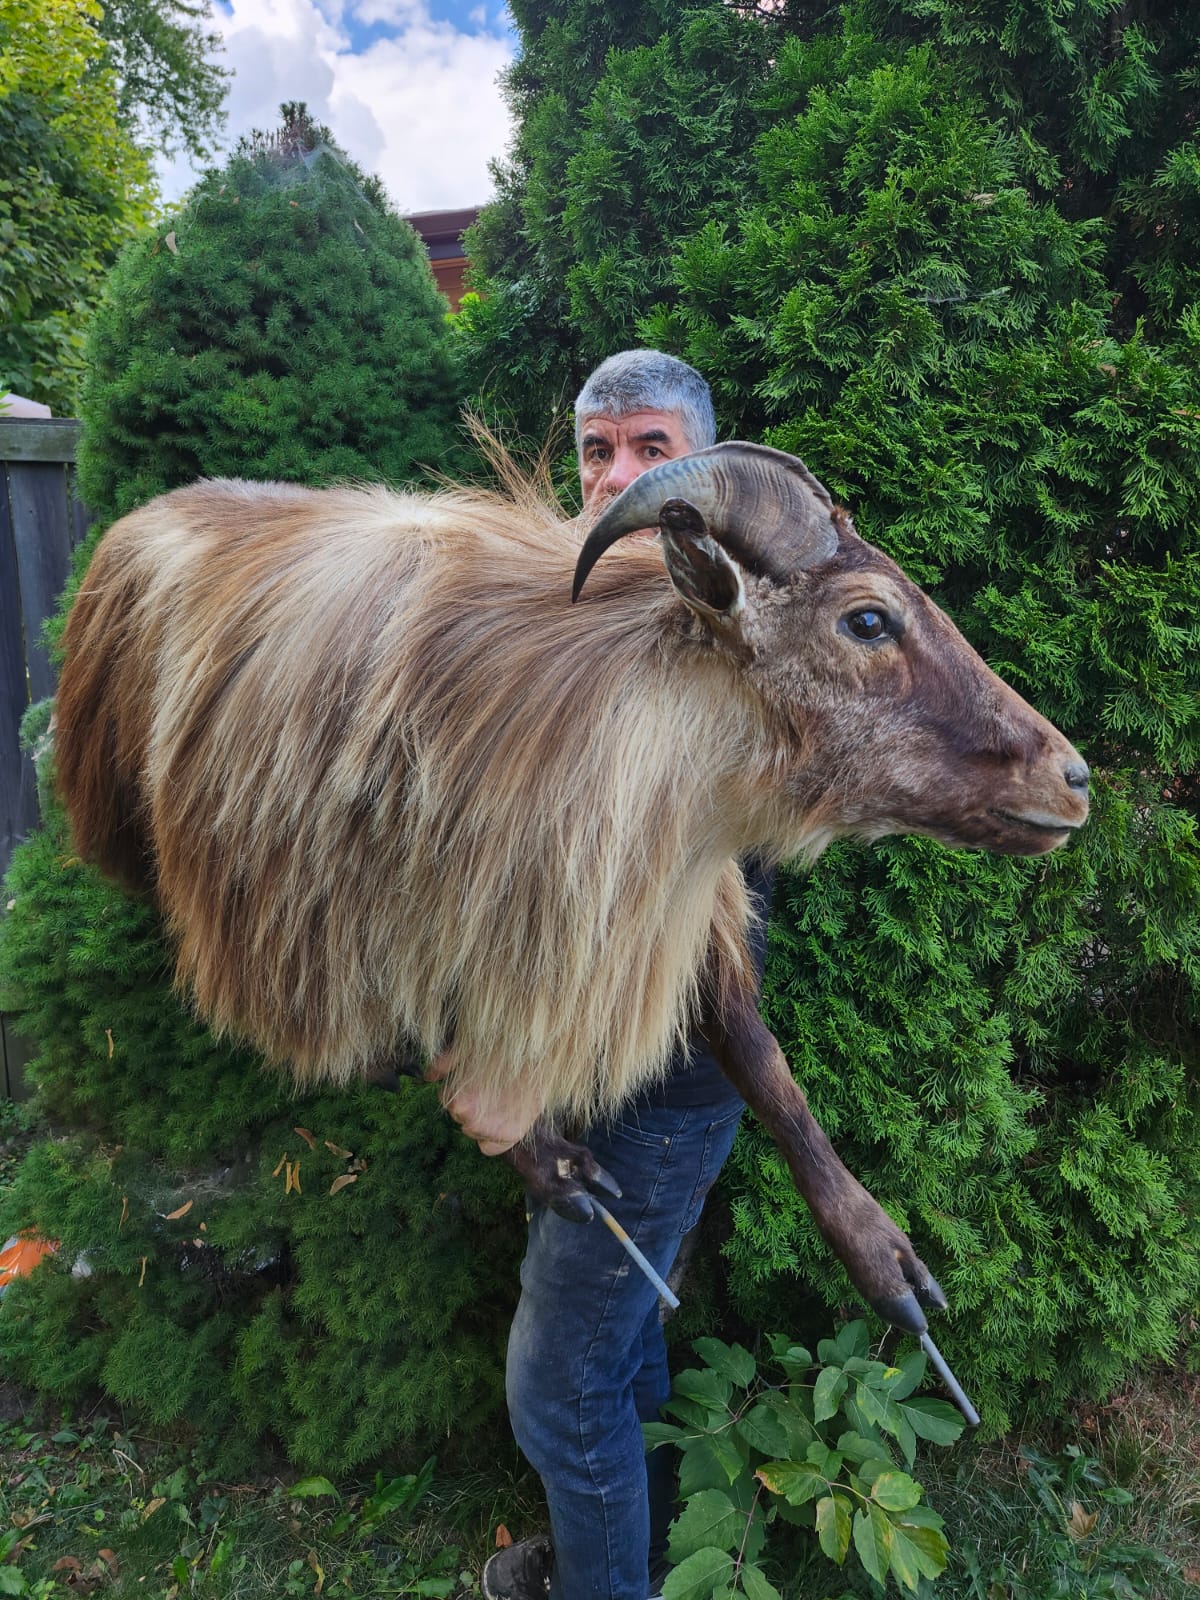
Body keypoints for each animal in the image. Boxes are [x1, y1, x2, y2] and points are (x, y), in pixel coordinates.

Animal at [54, 442, 1089, 1335]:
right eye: (867, 619)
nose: (1072, 778)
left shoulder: (677, 909)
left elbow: (762, 1061)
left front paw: (883, 1256)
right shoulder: (340, 925)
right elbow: (438, 1053)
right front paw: (556, 1171)